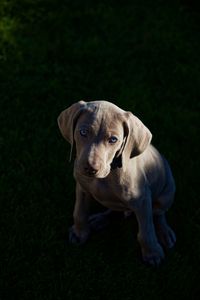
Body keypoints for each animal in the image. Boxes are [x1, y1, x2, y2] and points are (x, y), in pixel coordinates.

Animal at [57, 100, 175, 264]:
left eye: (113, 139)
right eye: (83, 132)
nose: (90, 168)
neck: (106, 177)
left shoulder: (142, 200)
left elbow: (146, 231)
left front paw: (152, 253)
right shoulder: (82, 188)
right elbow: (79, 211)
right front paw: (80, 232)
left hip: (167, 192)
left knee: (159, 213)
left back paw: (164, 232)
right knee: (115, 209)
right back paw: (101, 219)